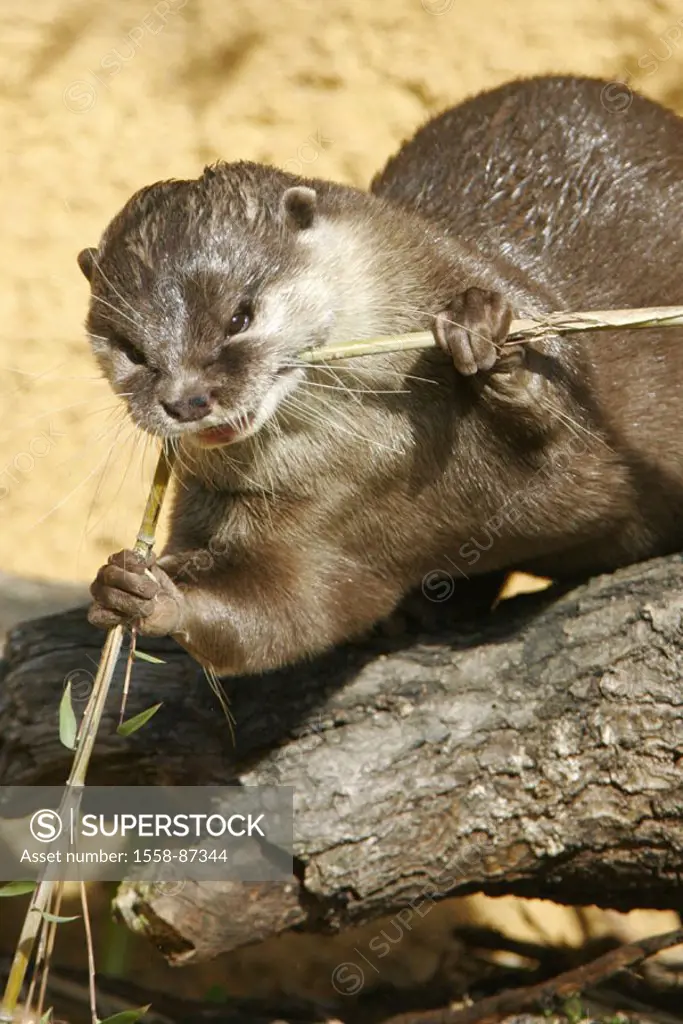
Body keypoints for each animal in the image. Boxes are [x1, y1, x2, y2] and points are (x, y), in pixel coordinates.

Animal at [81, 75, 683, 675]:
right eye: (131, 349)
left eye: (239, 317)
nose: (187, 400)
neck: (384, 449)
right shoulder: (294, 527)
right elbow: (281, 611)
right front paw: (139, 591)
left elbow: (568, 422)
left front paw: (484, 335)